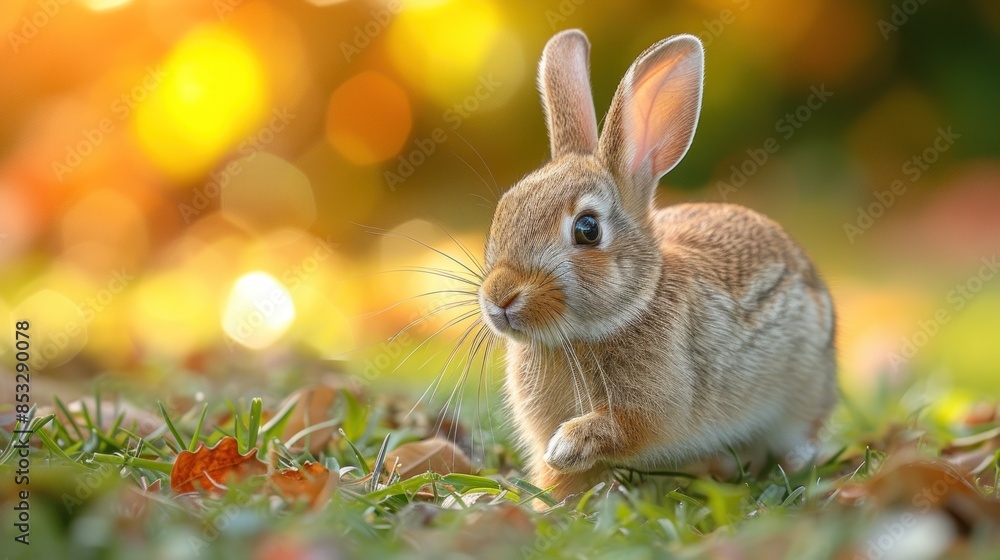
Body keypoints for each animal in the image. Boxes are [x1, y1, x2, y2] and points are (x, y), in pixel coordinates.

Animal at [476, 29, 837, 501]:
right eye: (503, 210)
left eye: (587, 229)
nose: (499, 297)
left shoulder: (653, 408)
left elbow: (622, 428)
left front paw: (565, 446)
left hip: (802, 394)